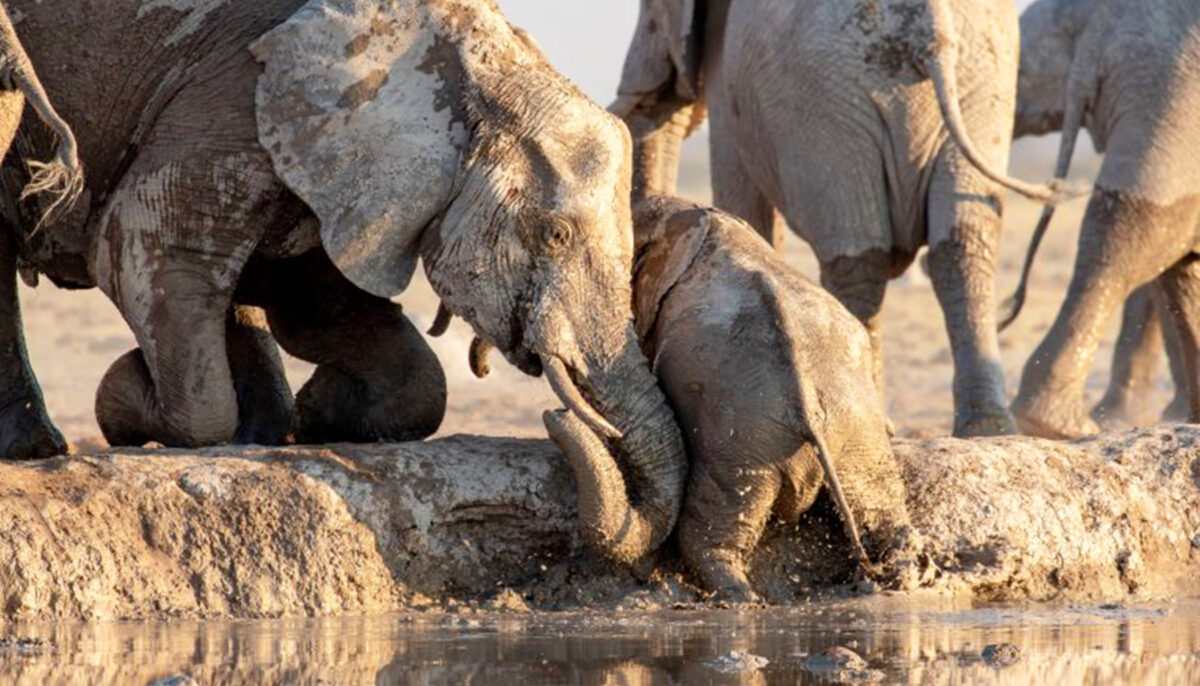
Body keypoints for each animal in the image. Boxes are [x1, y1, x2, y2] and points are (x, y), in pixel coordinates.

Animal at [0, 1, 691, 563]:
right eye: (555, 235)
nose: (556, 415)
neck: (470, 56)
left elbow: (321, 309)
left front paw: (316, 416)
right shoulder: (230, 97)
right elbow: (140, 249)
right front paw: (124, 401)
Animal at [549, 194, 912, 599]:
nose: (556, 413)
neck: (700, 220)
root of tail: (805, 410)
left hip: (740, 444)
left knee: (708, 536)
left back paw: (737, 597)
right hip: (850, 434)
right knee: (882, 510)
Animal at [609, 0, 1070, 436]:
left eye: (651, 15)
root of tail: (929, 25)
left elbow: (743, 194)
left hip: (827, 99)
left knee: (860, 258)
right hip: (980, 82)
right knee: (959, 245)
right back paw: (986, 429)